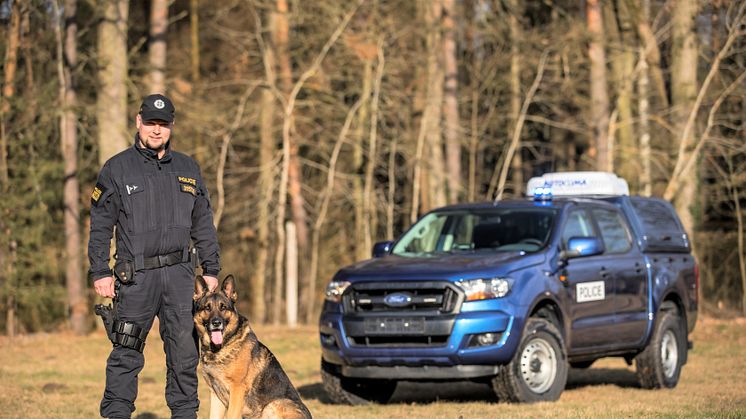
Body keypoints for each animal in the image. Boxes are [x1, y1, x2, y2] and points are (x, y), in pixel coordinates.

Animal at [195, 276, 310, 419]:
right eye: (207, 308)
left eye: (223, 308)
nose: (216, 323)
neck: (221, 347)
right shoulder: (215, 394)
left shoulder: (237, 389)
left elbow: (231, 415)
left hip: (273, 404)